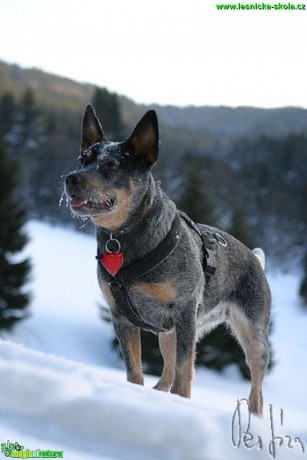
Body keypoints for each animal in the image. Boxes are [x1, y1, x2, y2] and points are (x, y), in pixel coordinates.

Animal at [65, 105, 272, 416]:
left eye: (111, 166)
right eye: (82, 159)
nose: (71, 178)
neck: (126, 238)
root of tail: (256, 260)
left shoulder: (185, 311)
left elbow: (185, 372)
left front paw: (181, 403)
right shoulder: (121, 317)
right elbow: (135, 370)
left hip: (252, 334)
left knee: (256, 389)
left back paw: (256, 417)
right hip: (167, 333)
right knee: (167, 372)